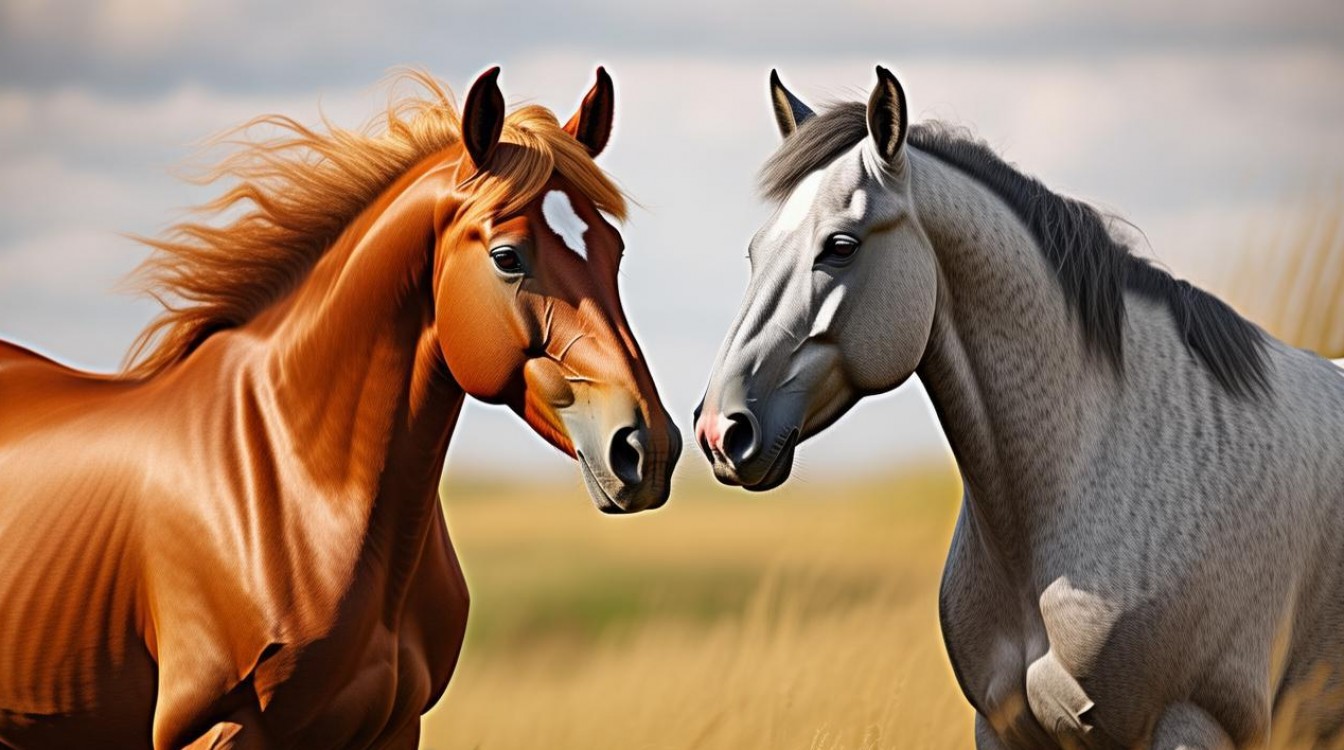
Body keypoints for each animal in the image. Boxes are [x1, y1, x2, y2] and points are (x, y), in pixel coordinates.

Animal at [0, 67, 681, 749]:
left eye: (615, 251)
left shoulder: (396, 726)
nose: (647, 448)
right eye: (507, 257)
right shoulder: (218, 728)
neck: (301, 484)